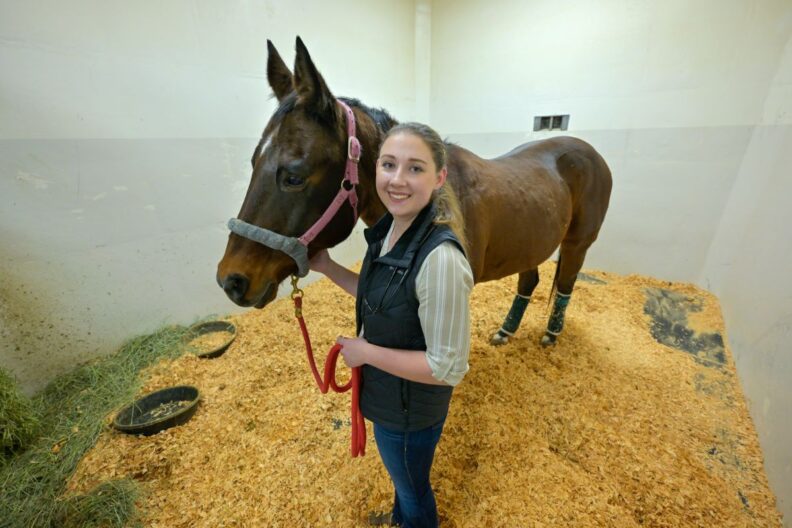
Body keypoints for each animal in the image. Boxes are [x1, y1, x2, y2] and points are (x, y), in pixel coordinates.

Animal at [217, 37, 612, 346]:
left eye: (294, 176)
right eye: (253, 162)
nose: (230, 280)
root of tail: (589, 152)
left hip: (577, 244)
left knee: (566, 282)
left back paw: (552, 334)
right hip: (530, 242)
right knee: (530, 280)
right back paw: (506, 331)